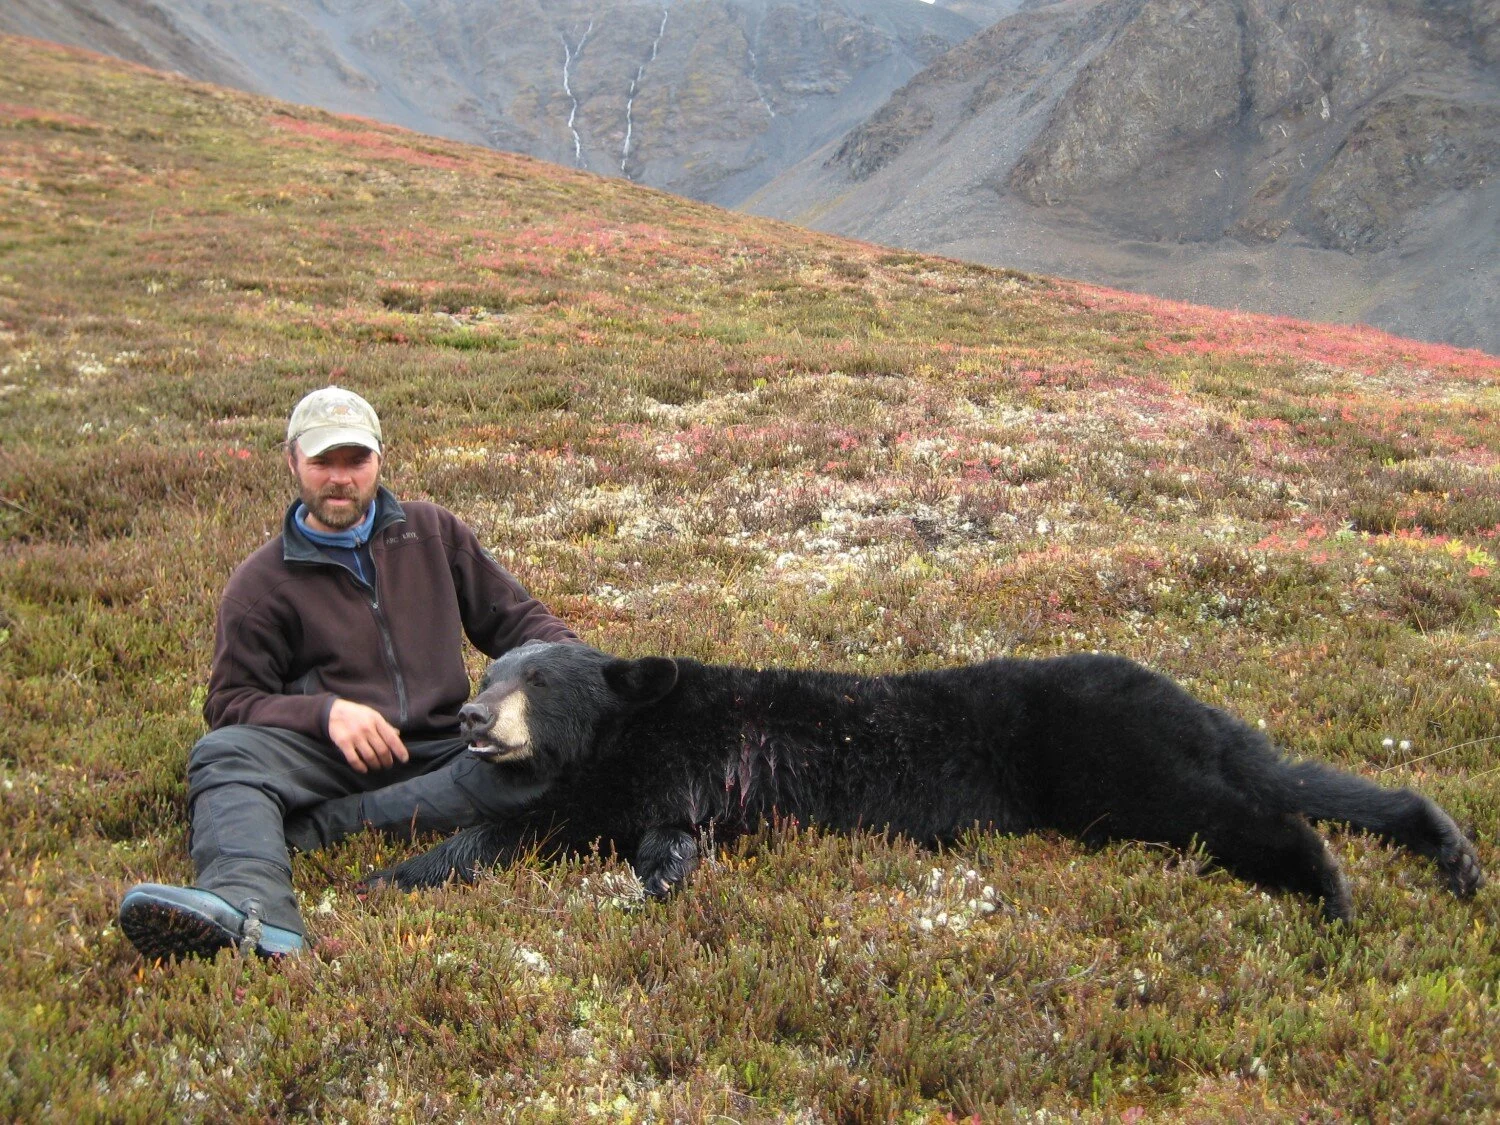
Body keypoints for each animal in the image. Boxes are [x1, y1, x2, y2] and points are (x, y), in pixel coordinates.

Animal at [375, 641, 1484, 922]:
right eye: (491, 670)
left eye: (535, 681)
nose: (471, 718)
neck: (623, 724)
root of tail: (1178, 696)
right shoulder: (665, 779)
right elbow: (633, 829)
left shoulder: (662, 757)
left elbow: (563, 821)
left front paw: (395, 874)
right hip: (1181, 744)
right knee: (1303, 777)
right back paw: (1451, 849)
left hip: (1110, 761)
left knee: (1243, 811)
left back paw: (1330, 886)